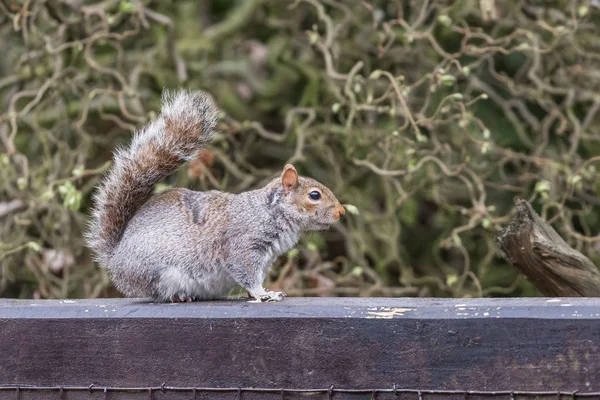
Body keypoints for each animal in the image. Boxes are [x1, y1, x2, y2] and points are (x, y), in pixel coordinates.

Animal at [86, 90, 344, 304]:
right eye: (314, 195)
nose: (341, 212)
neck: (268, 211)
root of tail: (116, 259)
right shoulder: (243, 246)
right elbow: (247, 273)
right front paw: (263, 294)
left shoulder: (265, 259)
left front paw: (259, 293)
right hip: (158, 269)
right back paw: (180, 296)